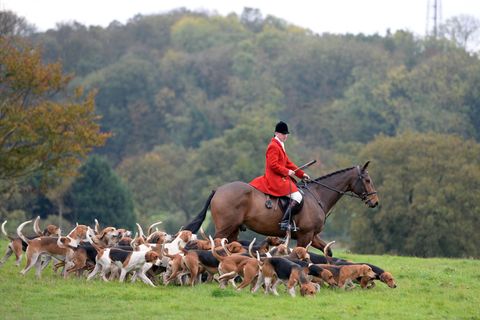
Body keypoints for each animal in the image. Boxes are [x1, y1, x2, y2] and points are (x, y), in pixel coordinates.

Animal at [184, 161, 378, 256]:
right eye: (368, 180)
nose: (375, 201)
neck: (317, 196)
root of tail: (218, 189)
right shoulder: (305, 235)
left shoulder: (313, 235)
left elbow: (328, 251)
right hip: (224, 227)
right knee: (215, 245)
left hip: (233, 229)